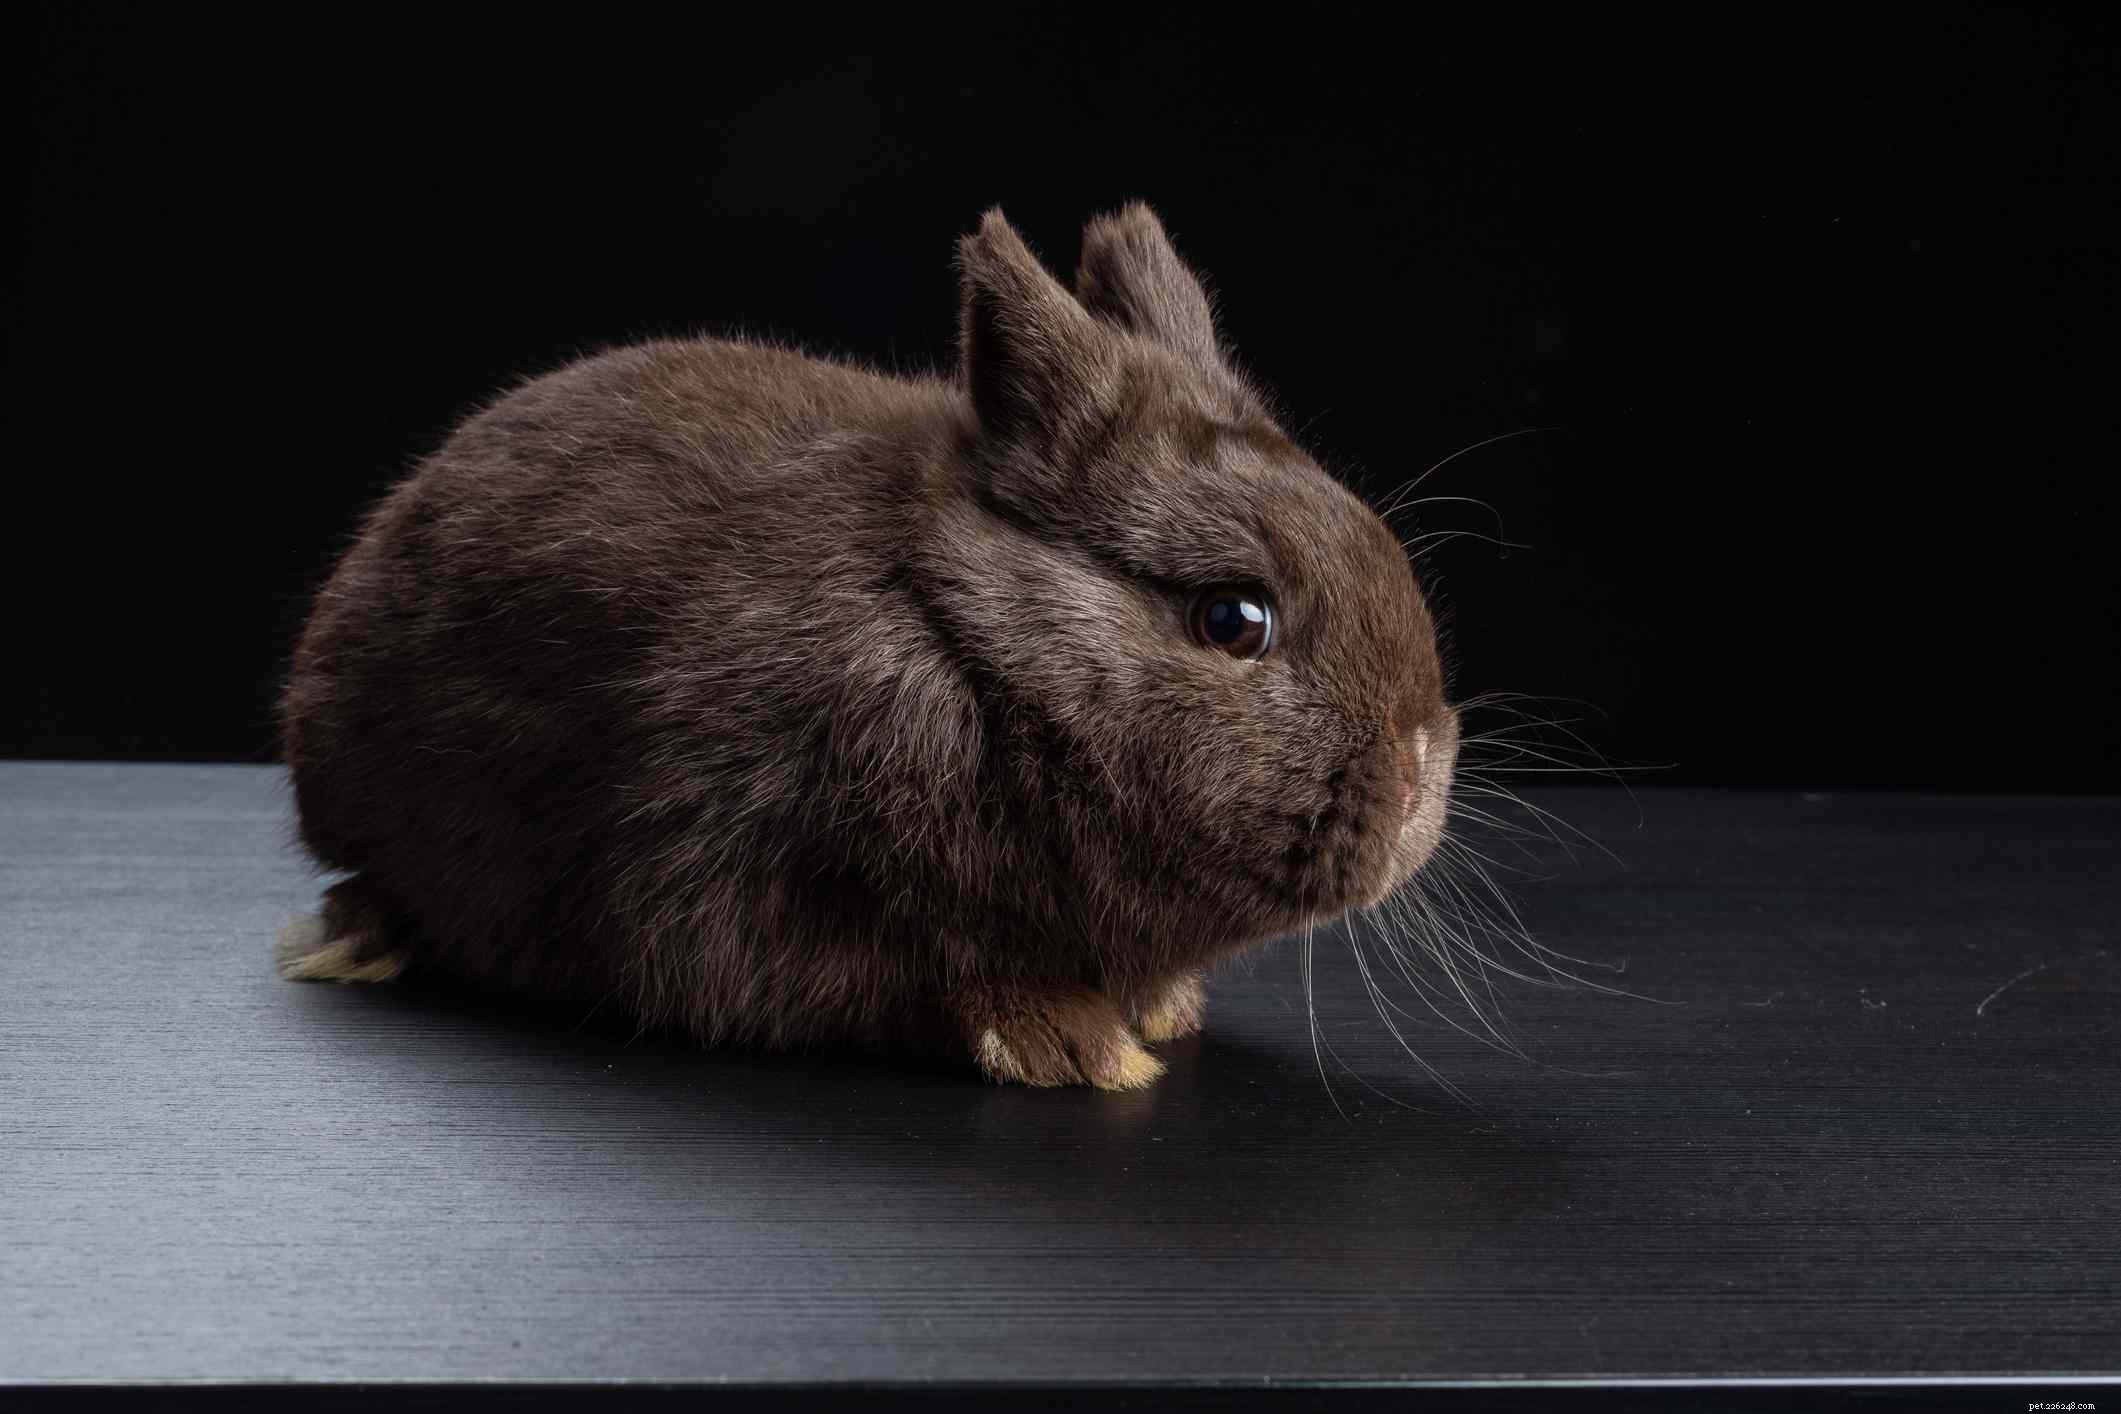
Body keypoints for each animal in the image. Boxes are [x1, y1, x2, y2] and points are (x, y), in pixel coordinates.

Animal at [277, 202, 1461, 1090]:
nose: (1418, 771)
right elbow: (929, 979)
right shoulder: (745, 882)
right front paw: (1076, 1045)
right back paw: (353, 937)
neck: (971, 648)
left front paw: (1161, 1011)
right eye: (1232, 618)